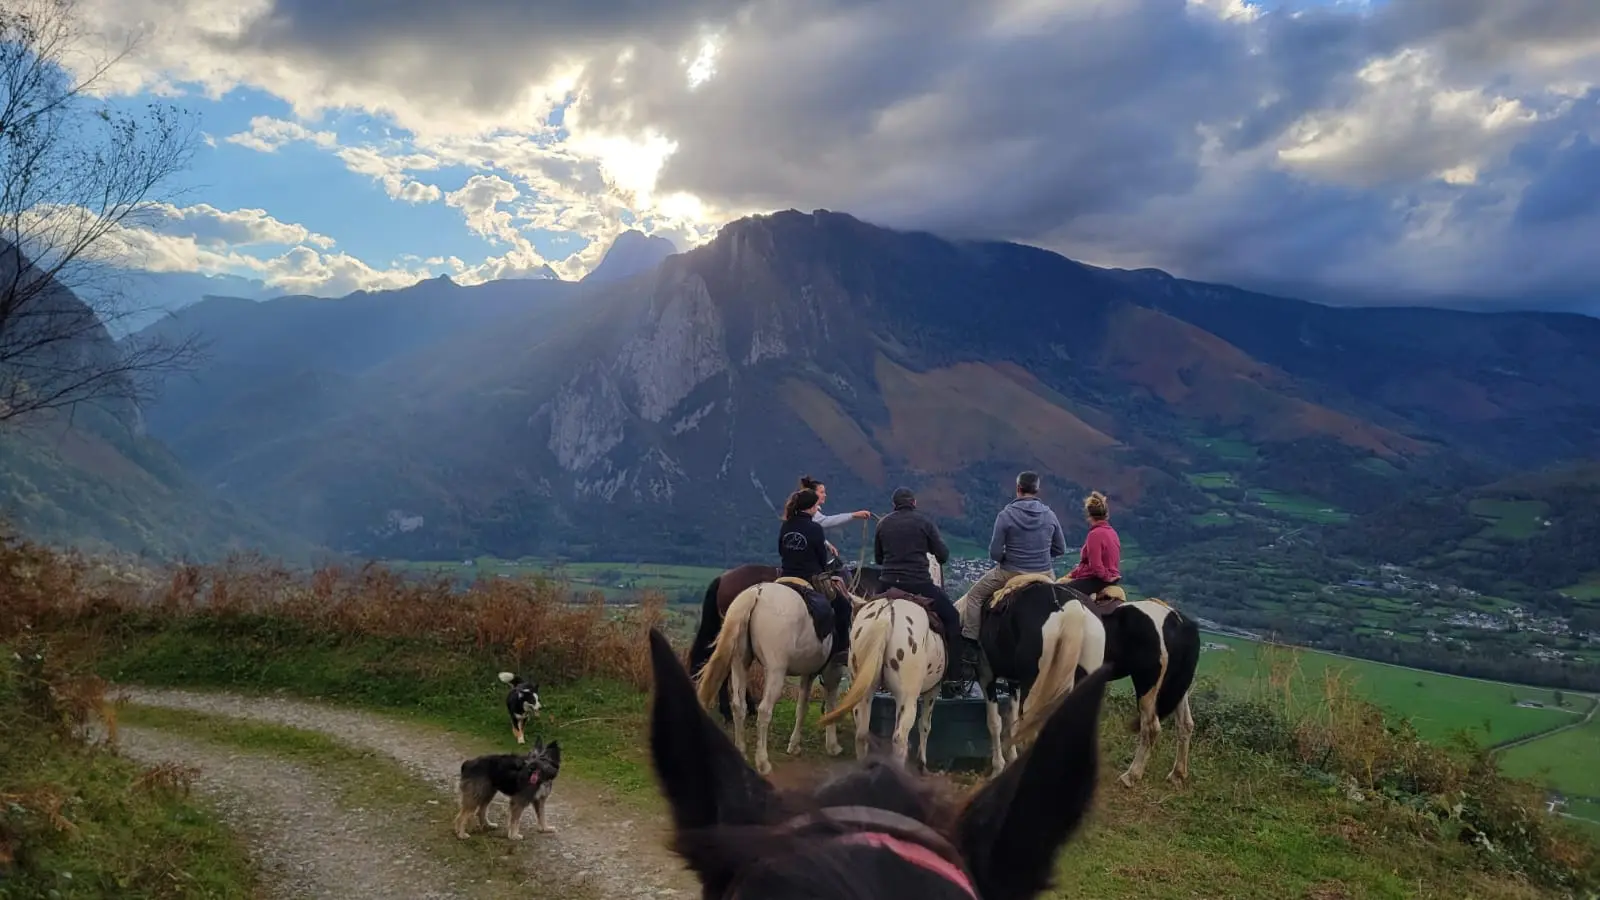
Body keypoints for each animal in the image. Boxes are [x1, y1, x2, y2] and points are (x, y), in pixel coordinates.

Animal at [691, 576, 864, 775]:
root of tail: (756, 593)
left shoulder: (808, 673)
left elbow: (802, 708)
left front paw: (794, 746)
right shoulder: (831, 672)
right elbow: (831, 707)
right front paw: (833, 746)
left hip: (739, 663)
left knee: (738, 706)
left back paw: (741, 750)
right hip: (776, 671)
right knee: (764, 710)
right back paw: (763, 762)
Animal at [825, 550, 947, 768]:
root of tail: (886, 615)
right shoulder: (934, 688)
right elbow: (925, 725)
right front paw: (922, 762)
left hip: (863, 690)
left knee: (862, 733)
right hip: (907, 697)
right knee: (899, 738)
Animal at [953, 573, 1107, 771]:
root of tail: (1070, 606)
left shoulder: (986, 675)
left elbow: (995, 722)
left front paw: (998, 766)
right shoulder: (1014, 682)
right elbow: (1011, 721)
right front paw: (1011, 758)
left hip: (1034, 687)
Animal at [1056, 576, 1196, 781]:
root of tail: (1177, 621)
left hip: (1147, 683)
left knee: (1150, 727)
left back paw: (1131, 775)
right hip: (1178, 685)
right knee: (1185, 724)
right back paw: (1177, 773)